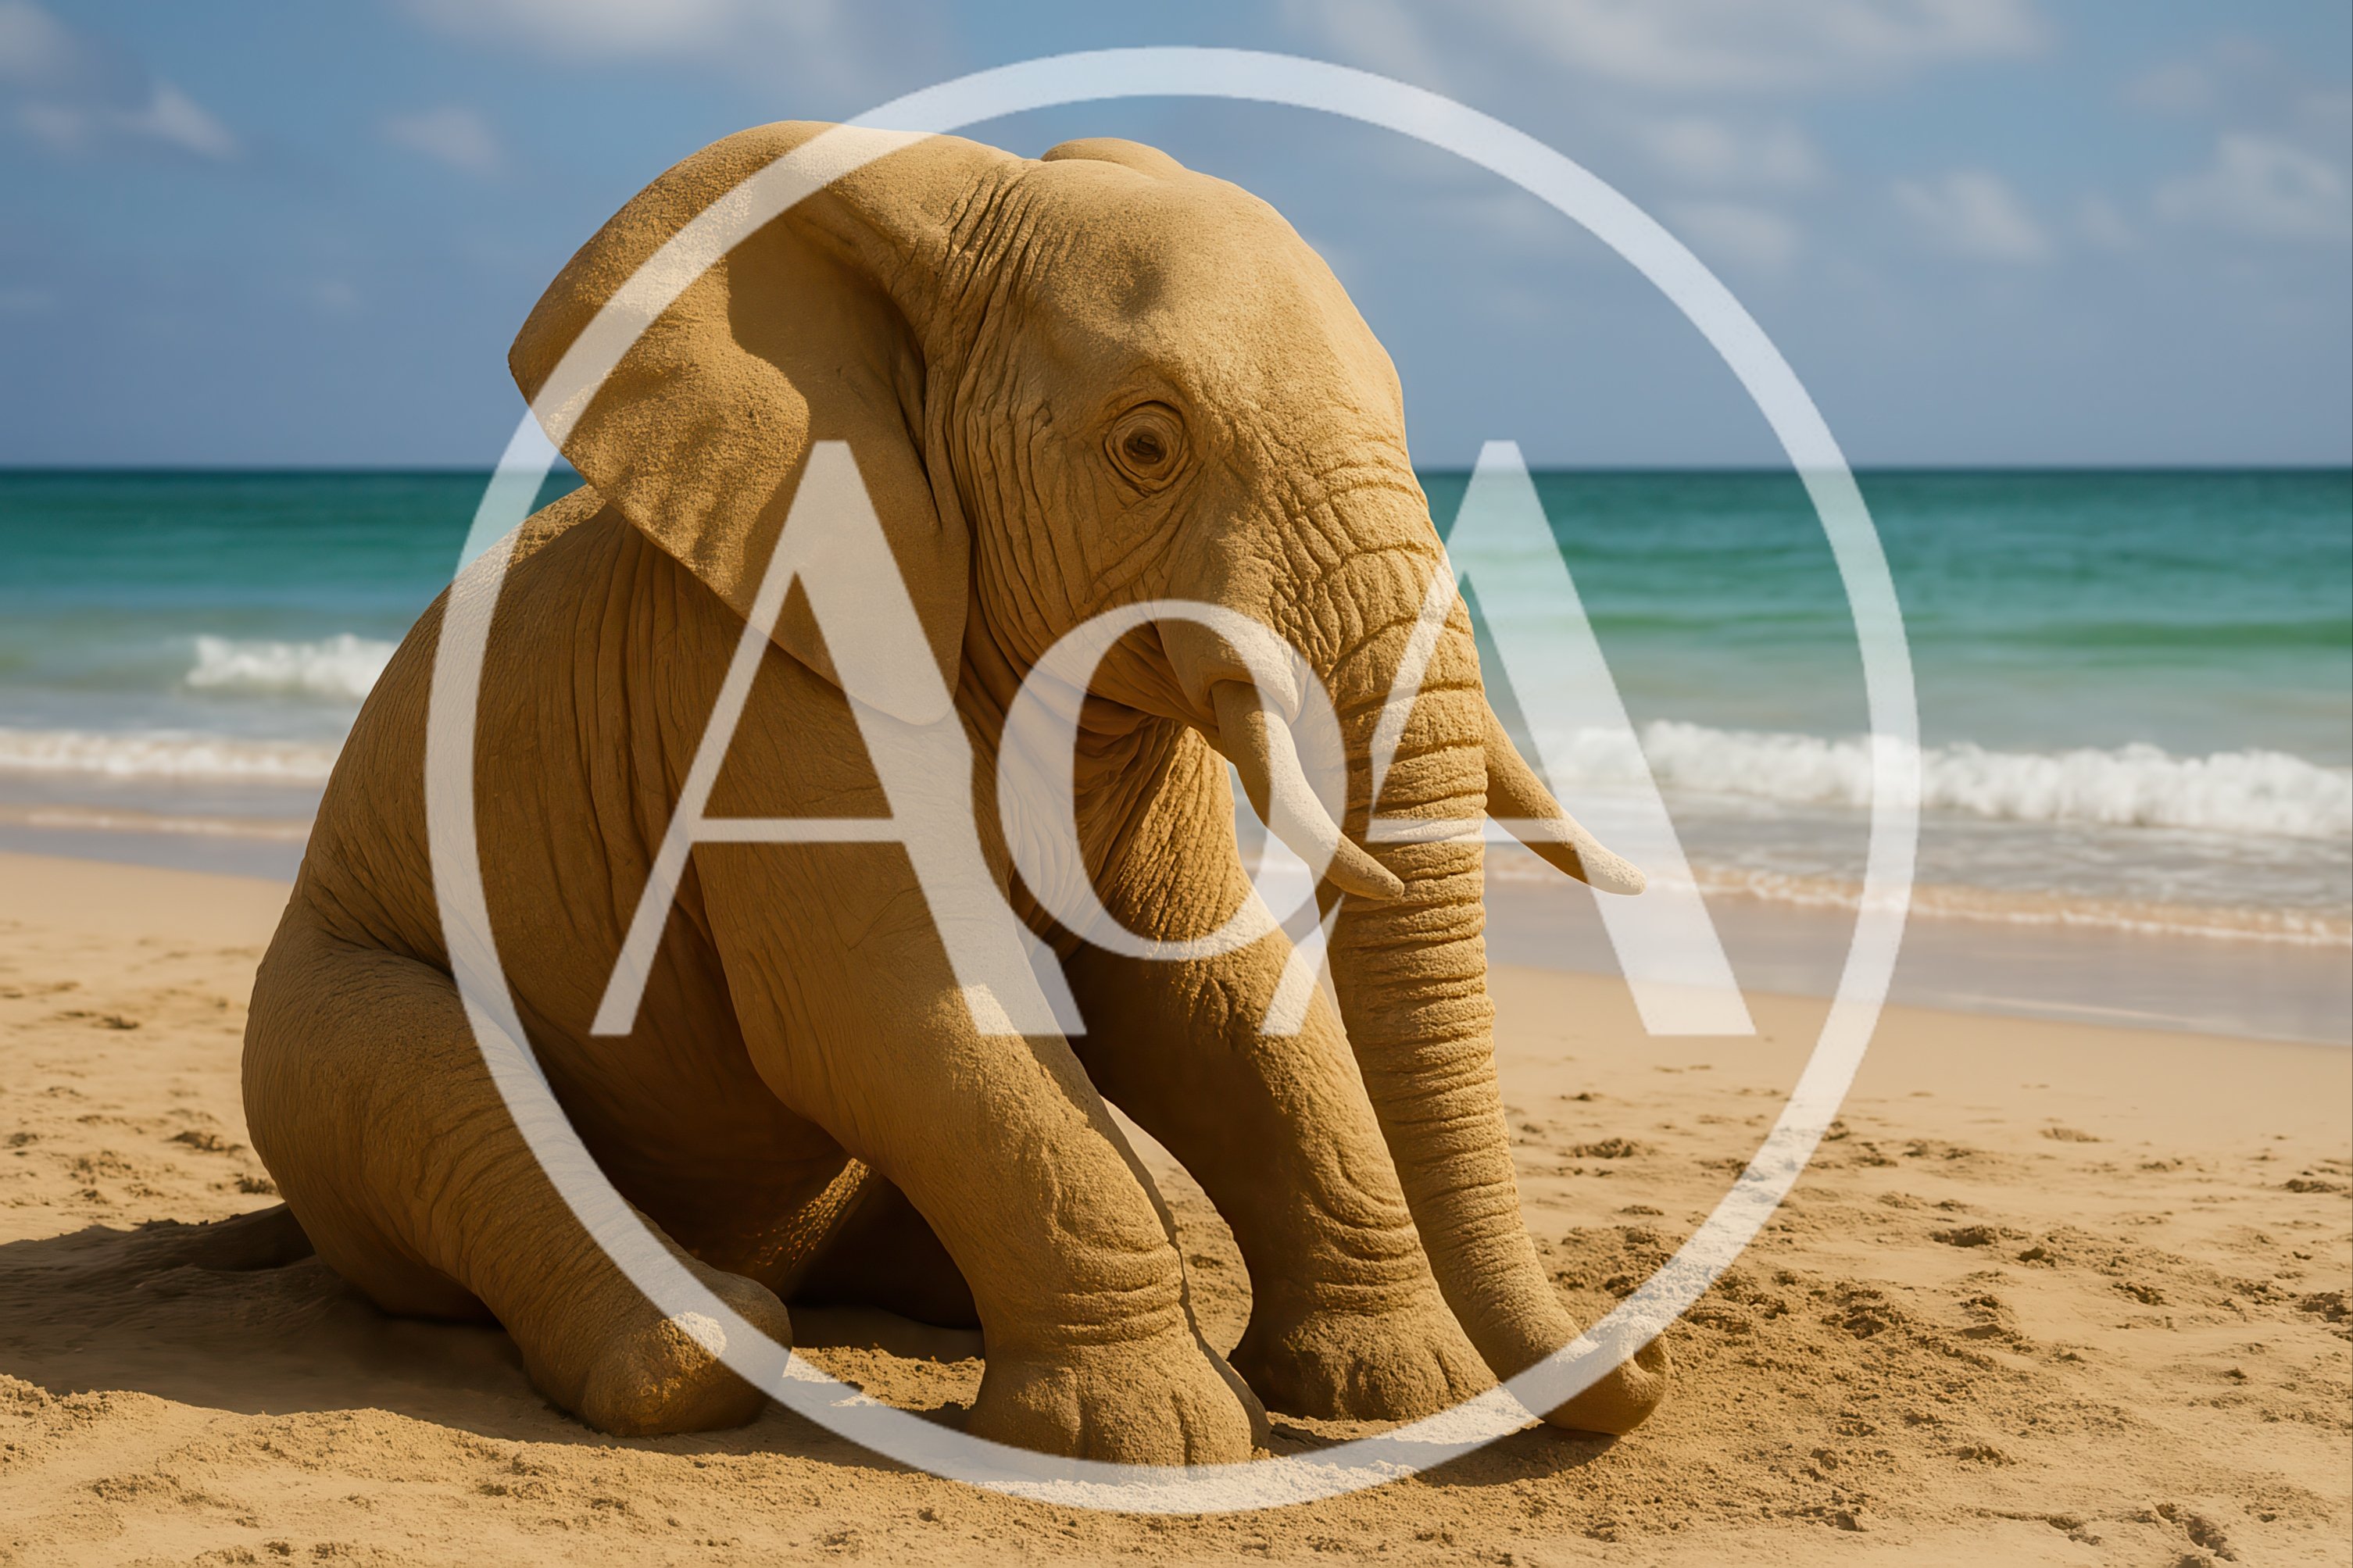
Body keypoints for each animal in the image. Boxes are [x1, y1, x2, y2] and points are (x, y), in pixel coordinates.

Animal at [241, 121, 1669, 1466]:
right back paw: (711, 1349)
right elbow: (886, 1012)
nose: (1646, 1362)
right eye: (1147, 443)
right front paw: (1155, 1440)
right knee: (441, 1088)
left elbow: (1206, 1005)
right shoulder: (762, 674)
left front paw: (1398, 1386)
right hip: (320, 1020)